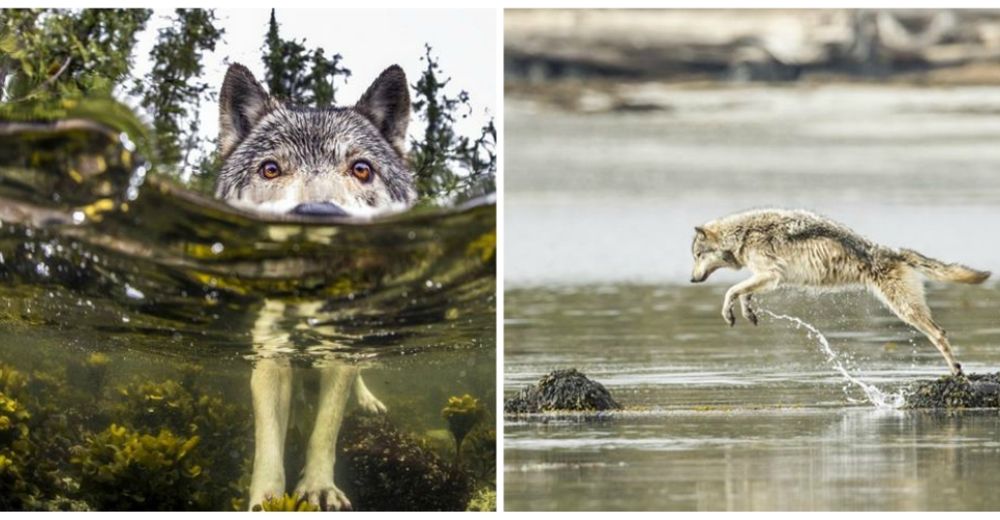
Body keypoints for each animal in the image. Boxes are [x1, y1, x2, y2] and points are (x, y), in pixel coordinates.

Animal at [215, 63, 418, 510]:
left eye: (361, 169)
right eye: (270, 169)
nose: (319, 213)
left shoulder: (338, 353)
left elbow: (325, 428)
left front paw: (318, 488)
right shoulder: (270, 355)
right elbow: (269, 442)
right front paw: (266, 499)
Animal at [692, 207, 988, 374]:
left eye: (697, 255)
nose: (692, 279)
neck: (742, 234)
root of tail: (894, 251)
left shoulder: (770, 274)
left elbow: (731, 291)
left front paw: (729, 313)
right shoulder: (767, 277)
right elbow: (744, 293)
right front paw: (747, 312)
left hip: (905, 310)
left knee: (940, 334)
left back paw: (956, 371)